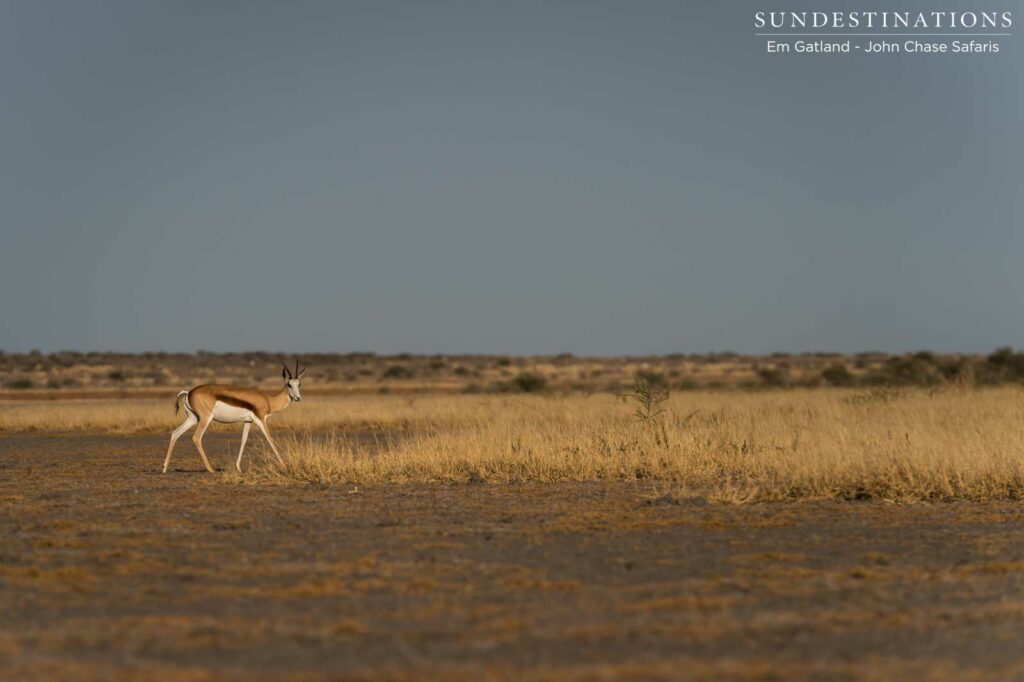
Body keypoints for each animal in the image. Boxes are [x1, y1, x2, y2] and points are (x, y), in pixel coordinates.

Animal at [163, 359, 305, 474]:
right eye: (289, 384)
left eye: (299, 384)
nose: (298, 398)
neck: (268, 400)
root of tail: (189, 392)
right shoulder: (261, 420)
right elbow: (270, 439)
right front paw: (284, 465)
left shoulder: (248, 421)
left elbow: (243, 440)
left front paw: (238, 468)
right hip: (205, 419)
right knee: (196, 438)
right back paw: (210, 469)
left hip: (193, 418)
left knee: (175, 433)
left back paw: (164, 468)